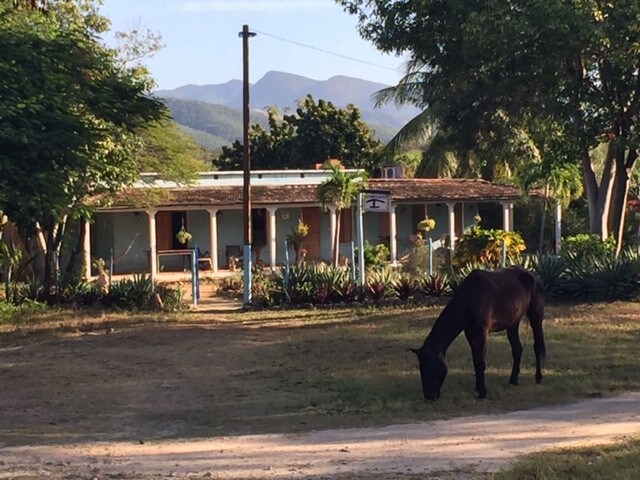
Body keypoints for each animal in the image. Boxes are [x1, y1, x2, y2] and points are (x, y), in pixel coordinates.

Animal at [412, 268, 548, 400]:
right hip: (512, 324)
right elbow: (476, 362)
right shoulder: (471, 335)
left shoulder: (482, 335)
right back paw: (513, 380)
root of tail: (536, 278)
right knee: (517, 349)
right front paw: (478, 388)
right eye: (421, 368)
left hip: (535, 317)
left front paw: (482, 393)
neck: (470, 298)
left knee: (537, 346)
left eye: (428, 367)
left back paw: (538, 377)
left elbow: (480, 363)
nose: (429, 396)